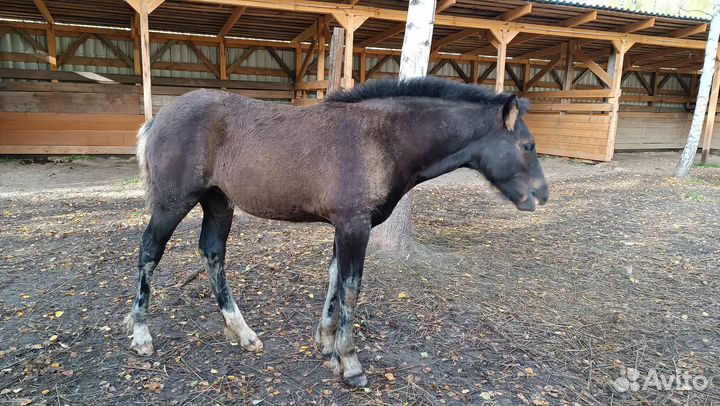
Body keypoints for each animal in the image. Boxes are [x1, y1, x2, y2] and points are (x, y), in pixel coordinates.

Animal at [123, 76, 549, 387]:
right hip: (172, 203)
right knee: (149, 252)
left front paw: (327, 346)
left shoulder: (344, 228)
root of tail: (158, 118)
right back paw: (141, 334)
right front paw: (351, 363)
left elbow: (333, 280)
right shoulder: (354, 226)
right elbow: (351, 287)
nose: (541, 195)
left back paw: (242, 333)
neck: (381, 138)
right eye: (528, 145)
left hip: (218, 202)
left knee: (212, 253)